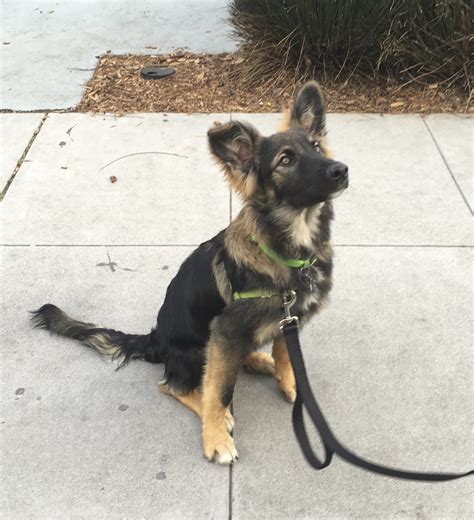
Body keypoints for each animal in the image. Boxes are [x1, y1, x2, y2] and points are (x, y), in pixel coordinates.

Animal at [30, 81, 348, 464]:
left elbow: (287, 358)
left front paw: (291, 385)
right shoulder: (226, 330)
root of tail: (156, 339)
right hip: (198, 349)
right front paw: (216, 436)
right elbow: (218, 391)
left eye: (316, 146)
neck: (291, 249)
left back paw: (259, 360)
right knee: (177, 385)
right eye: (285, 160)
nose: (341, 170)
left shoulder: (290, 319)